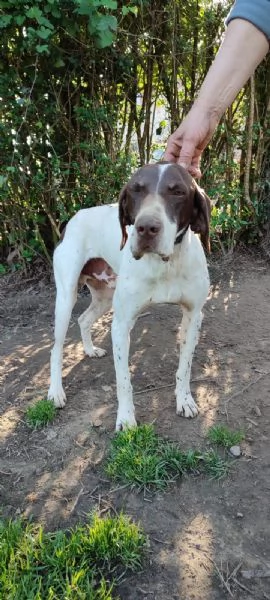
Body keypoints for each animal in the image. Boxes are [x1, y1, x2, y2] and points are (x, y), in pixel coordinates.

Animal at [47, 162, 210, 428]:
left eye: (178, 192)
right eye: (136, 190)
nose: (146, 228)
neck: (164, 265)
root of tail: (73, 219)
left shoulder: (193, 316)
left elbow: (184, 367)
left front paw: (184, 400)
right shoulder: (121, 324)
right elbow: (124, 381)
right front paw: (125, 419)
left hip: (104, 296)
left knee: (83, 319)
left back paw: (90, 350)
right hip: (65, 299)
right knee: (56, 349)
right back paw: (55, 392)